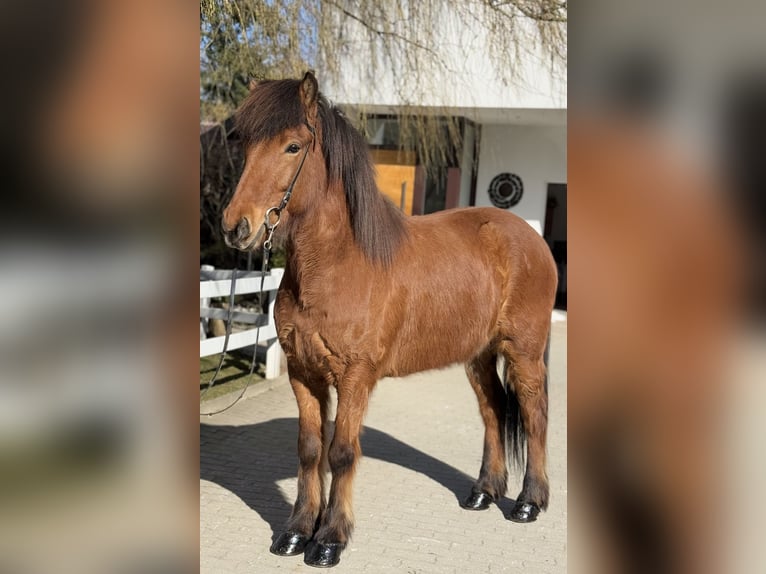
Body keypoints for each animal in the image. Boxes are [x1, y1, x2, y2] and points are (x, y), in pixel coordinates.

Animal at [222, 71, 560, 568]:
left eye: (293, 146)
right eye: (245, 144)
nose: (235, 226)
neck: (338, 264)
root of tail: (529, 237)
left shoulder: (355, 378)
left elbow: (342, 453)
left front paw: (329, 540)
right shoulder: (304, 375)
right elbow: (309, 451)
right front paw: (296, 533)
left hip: (524, 352)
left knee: (535, 416)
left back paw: (529, 503)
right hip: (478, 356)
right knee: (494, 410)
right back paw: (483, 493)